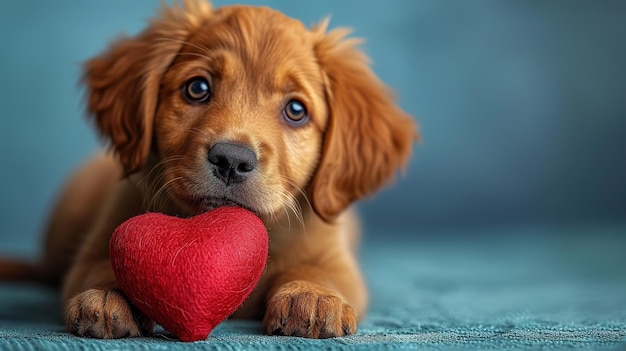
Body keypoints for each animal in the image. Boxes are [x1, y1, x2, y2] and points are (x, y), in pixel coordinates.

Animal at [11, 0, 414, 340]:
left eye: (296, 110)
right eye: (198, 88)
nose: (231, 160)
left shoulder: (338, 260)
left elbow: (317, 270)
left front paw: (311, 296)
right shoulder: (96, 247)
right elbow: (101, 266)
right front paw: (109, 295)